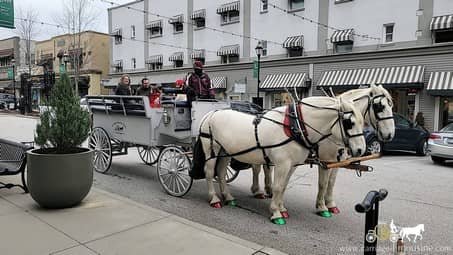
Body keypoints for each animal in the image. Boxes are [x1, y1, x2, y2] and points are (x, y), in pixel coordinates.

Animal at [197, 96, 364, 224]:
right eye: (349, 122)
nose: (361, 150)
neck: (296, 127)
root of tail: (210, 114)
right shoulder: (282, 164)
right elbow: (277, 187)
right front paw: (276, 213)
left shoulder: (292, 165)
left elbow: (283, 186)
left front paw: (282, 208)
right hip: (211, 149)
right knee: (210, 172)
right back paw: (214, 199)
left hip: (225, 151)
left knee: (221, 171)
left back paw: (228, 197)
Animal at [249, 83, 394, 217]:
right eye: (380, 106)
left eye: (391, 105)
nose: (390, 135)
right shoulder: (325, 160)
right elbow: (323, 183)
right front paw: (322, 207)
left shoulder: (337, 161)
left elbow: (331, 183)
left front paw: (330, 204)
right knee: (256, 168)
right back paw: (257, 191)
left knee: (266, 167)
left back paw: (268, 189)